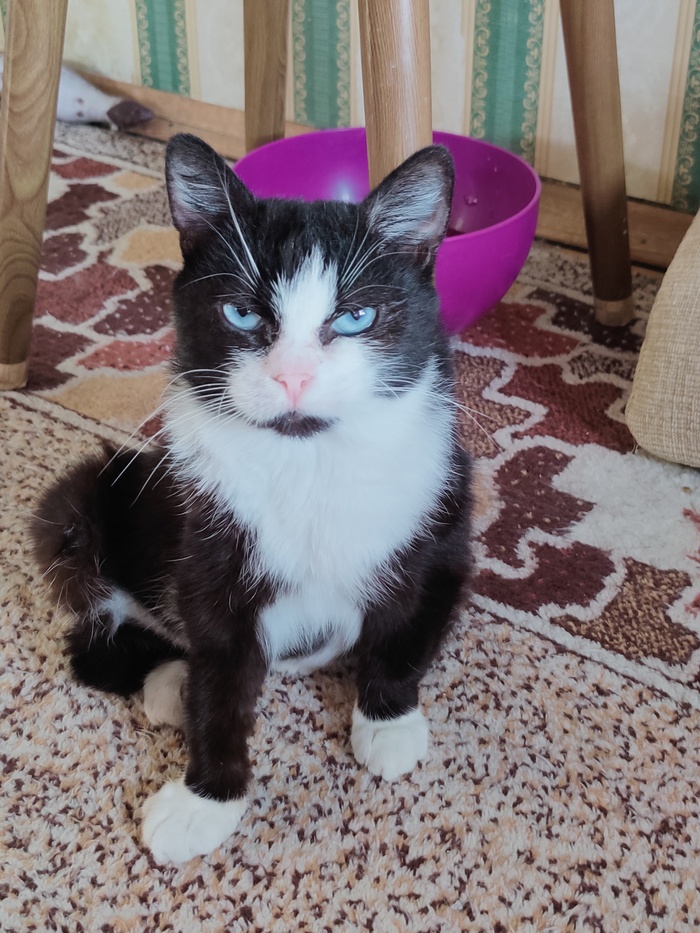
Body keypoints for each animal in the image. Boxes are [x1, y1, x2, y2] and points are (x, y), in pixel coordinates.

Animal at [31, 132, 472, 865]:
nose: (292, 378)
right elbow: (221, 664)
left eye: (356, 316)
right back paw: (169, 683)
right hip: (84, 504)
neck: (308, 459)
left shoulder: (439, 515)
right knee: (95, 636)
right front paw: (205, 798)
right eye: (241, 312)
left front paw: (387, 721)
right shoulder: (209, 533)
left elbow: (408, 624)